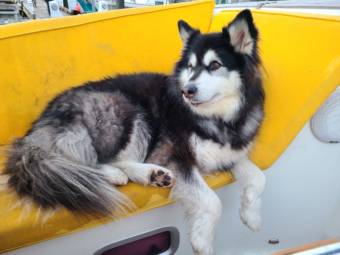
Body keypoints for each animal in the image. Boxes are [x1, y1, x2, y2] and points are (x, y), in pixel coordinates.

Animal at [2, 8, 266, 254]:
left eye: (214, 65)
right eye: (190, 67)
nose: (187, 91)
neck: (219, 119)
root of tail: (41, 123)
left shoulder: (229, 153)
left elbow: (258, 176)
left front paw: (252, 216)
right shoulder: (174, 154)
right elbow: (211, 200)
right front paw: (203, 239)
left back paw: (151, 175)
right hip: (126, 110)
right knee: (92, 159)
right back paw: (124, 174)